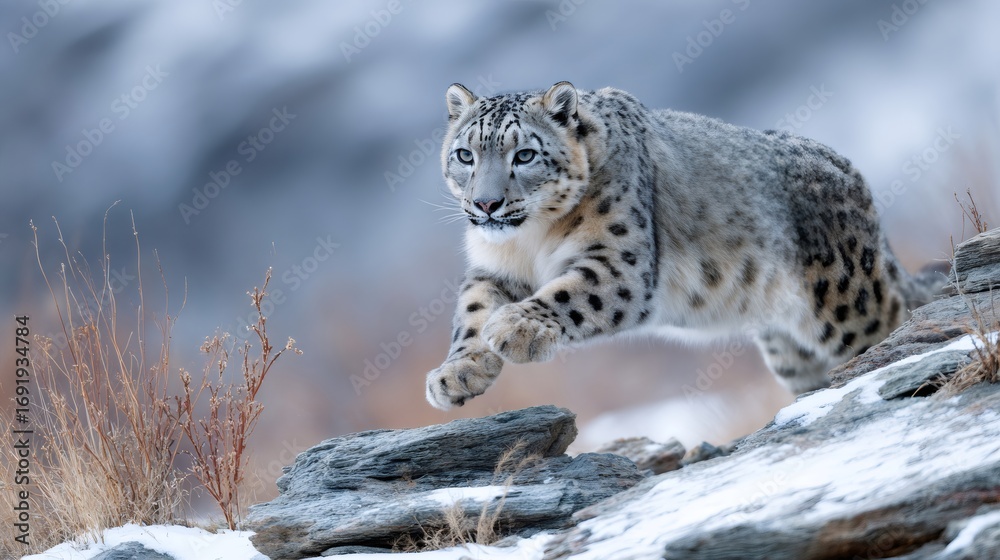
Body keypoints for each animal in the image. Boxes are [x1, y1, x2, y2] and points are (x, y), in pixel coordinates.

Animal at [425, 81, 944, 410]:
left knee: (894, 319)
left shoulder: (618, 264)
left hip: (848, 305)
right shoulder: (493, 270)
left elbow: (567, 293)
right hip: (789, 346)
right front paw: (457, 373)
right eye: (465, 155)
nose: (486, 204)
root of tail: (856, 179)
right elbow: (472, 312)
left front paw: (515, 327)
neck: (531, 239)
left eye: (525, 154)